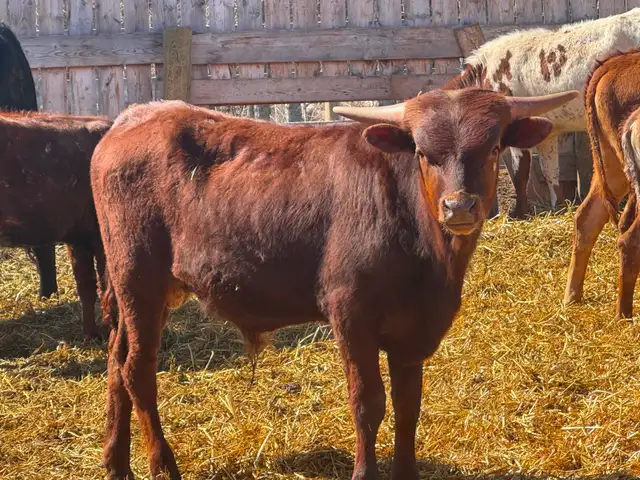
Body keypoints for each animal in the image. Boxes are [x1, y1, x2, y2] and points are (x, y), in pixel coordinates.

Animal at [90, 87, 577, 480]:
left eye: (494, 147)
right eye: (423, 153)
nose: (459, 207)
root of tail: (133, 117)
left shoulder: (413, 330)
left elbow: (408, 405)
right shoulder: (351, 315)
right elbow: (368, 403)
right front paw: (365, 471)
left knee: (116, 361)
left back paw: (115, 462)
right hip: (138, 280)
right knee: (137, 370)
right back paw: (161, 464)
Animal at [564, 48, 640, 318]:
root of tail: (614, 62)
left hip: (611, 169)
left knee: (587, 217)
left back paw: (571, 297)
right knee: (628, 240)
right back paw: (624, 316)